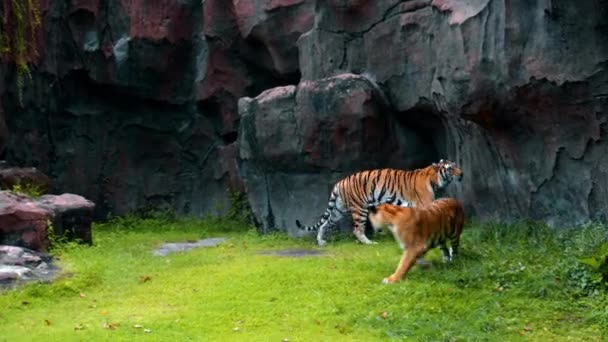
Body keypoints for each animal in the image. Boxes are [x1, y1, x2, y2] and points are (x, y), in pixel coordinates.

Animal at [296, 160, 464, 246]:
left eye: (457, 166)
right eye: (451, 168)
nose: (462, 174)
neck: (434, 178)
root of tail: (340, 182)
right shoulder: (424, 203)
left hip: (339, 209)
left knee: (325, 223)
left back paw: (321, 241)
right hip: (360, 208)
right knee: (357, 229)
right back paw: (369, 243)